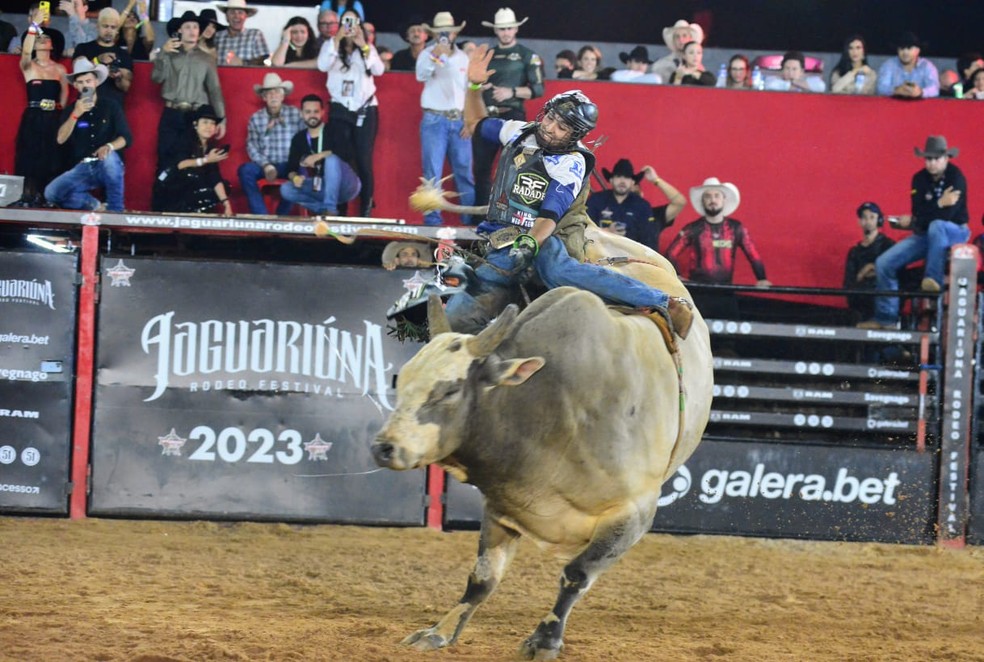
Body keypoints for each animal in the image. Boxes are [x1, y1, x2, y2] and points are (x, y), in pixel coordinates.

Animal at [368, 215, 716, 660]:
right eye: (403, 382)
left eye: (449, 390)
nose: (385, 447)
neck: (552, 406)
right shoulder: (504, 504)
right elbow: (482, 577)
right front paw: (439, 631)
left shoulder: (633, 514)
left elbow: (576, 574)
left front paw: (545, 639)